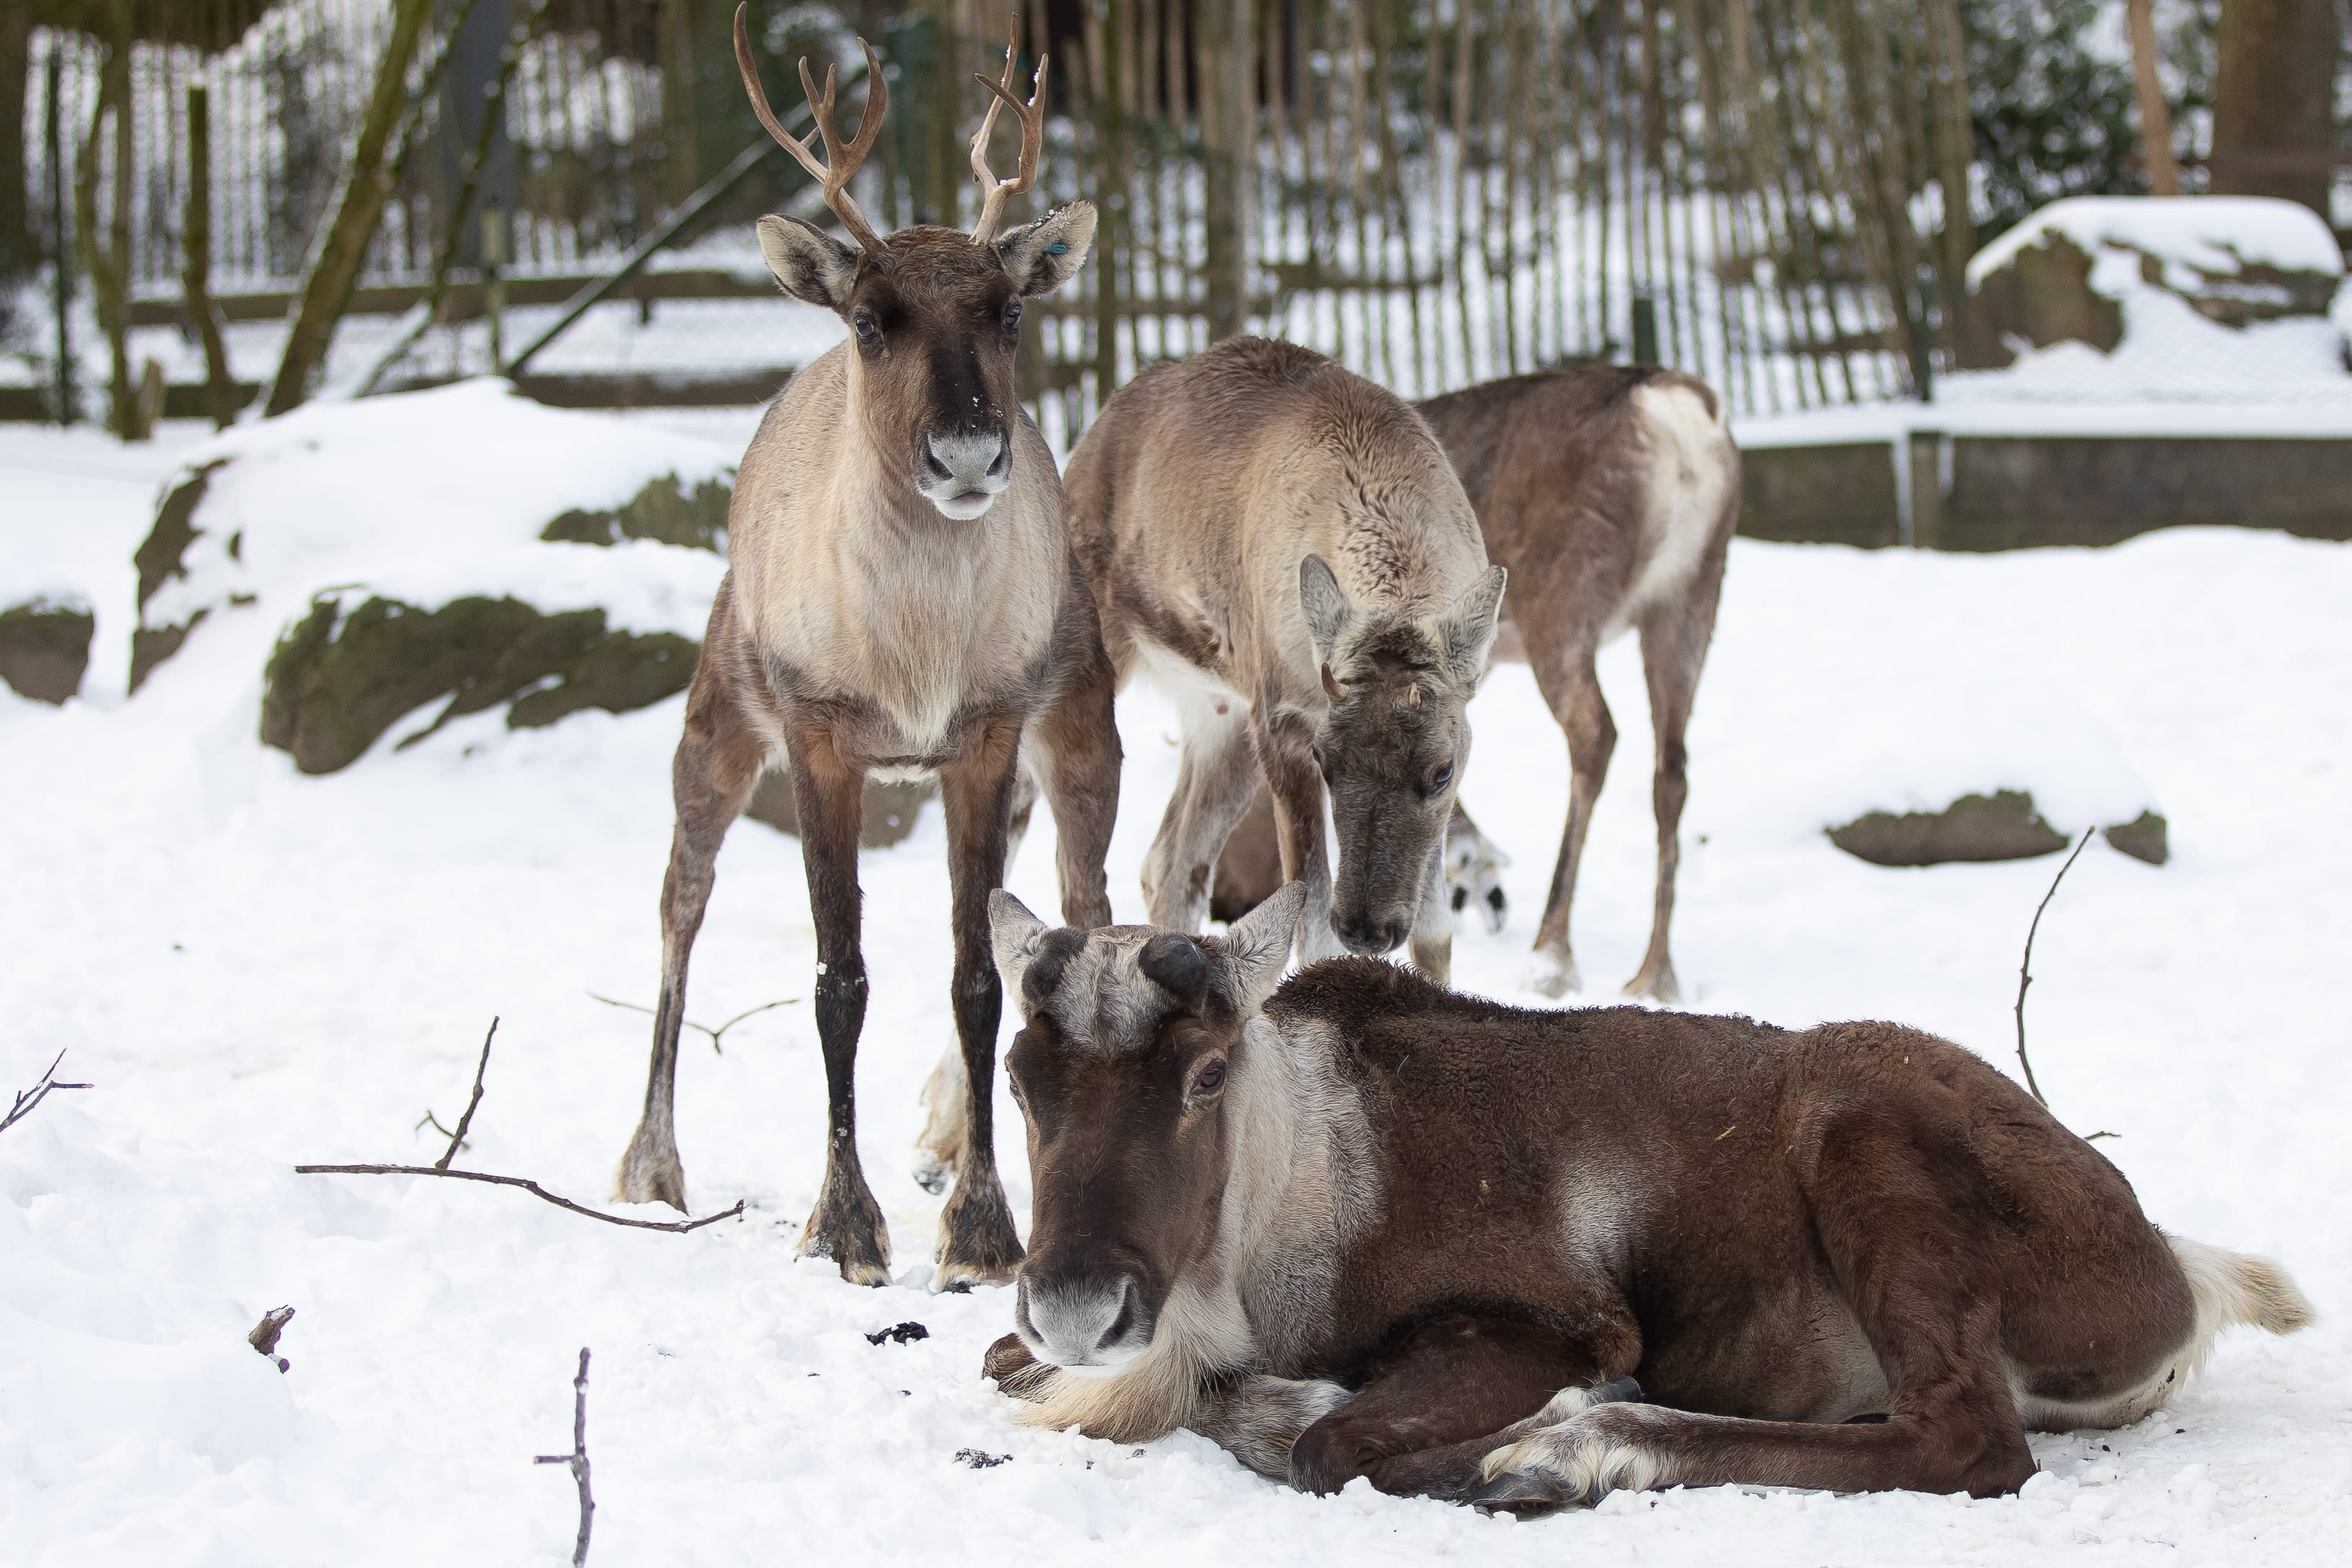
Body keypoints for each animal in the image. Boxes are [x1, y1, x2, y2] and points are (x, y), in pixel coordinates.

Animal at [612, 8, 1121, 1290]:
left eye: (1007, 310)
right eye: (867, 318)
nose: (967, 455)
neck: (914, 658)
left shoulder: (986, 735)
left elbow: (978, 977)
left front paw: (984, 1226)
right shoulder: (819, 734)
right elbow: (836, 981)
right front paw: (845, 1223)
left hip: (1081, 732)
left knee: (1085, 904)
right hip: (714, 717)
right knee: (677, 902)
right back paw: (651, 1163)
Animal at [978, 886, 2314, 1506]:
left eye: (1205, 1073)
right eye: (1018, 1075)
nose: (1078, 1308)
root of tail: (2180, 1277)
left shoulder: (1548, 1318)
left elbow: (1332, 1442)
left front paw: (1538, 1432)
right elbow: (1034, 1374)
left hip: (1863, 1126)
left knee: (1964, 1437)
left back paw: (1577, 1448)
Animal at [1061, 336, 1507, 986]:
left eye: (1443, 770)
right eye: (1327, 760)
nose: (1366, 928)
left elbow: (1435, 931)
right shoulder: (1283, 723)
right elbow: (1311, 928)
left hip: (1219, 715)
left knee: (1169, 864)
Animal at [1206, 365, 1737, 1003]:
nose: (1223, 901)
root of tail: (1676, 412)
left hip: (1562, 602)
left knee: (1597, 735)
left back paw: (1552, 954)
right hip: (1690, 596)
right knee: (1672, 765)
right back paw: (1656, 974)